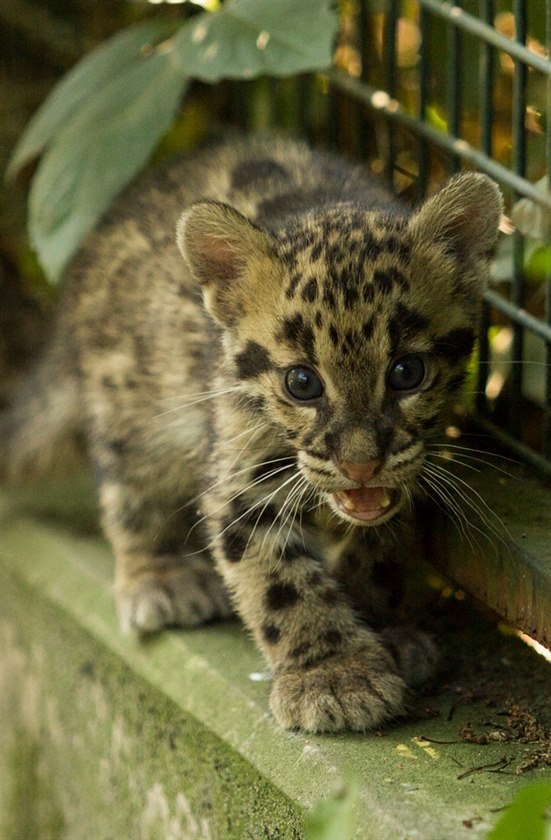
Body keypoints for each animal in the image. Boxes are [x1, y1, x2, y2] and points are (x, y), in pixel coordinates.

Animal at [0, 136, 503, 733]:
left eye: (408, 372)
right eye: (302, 383)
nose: (360, 465)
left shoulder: (404, 473)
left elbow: (378, 546)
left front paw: (386, 627)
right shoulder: (241, 474)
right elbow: (278, 581)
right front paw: (334, 675)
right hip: (132, 407)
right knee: (129, 495)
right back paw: (158, 575)